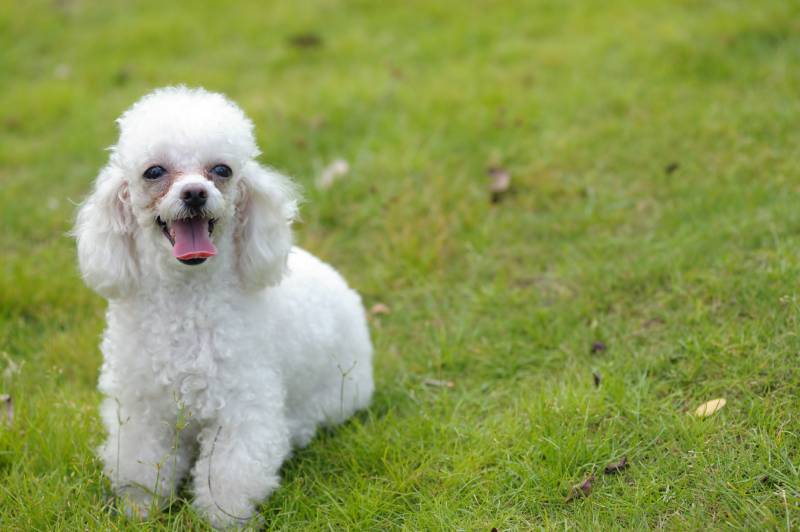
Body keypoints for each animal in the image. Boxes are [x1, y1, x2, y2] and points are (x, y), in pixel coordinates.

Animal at [73, 85, 374, 524]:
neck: (186, 298)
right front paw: (140, 507)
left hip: (340, 394)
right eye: (154, 172)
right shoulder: (142, 407)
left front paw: (225, 518)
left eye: (222, 170)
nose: (195, 193)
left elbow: (229, 474)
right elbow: (141, 461)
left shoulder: (242, 408)